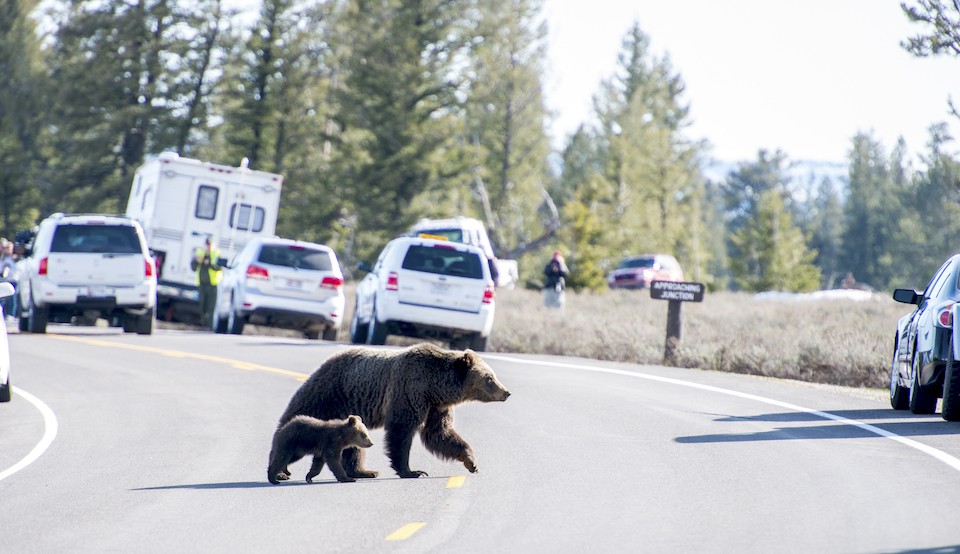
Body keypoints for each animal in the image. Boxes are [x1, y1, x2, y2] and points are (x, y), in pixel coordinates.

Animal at [270, 340, 510, 478]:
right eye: (489, 378)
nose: (506, 392)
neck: (435, 386)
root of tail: (323, 364)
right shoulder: (409, 389)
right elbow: (401, 431)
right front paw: (412, 471)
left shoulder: (436, 406)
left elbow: (439, 434)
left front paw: (471, 461)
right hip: (326, 395)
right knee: (292, 424)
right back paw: (280, 469)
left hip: (349, 417)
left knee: (353, 446)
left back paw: (364, 471)